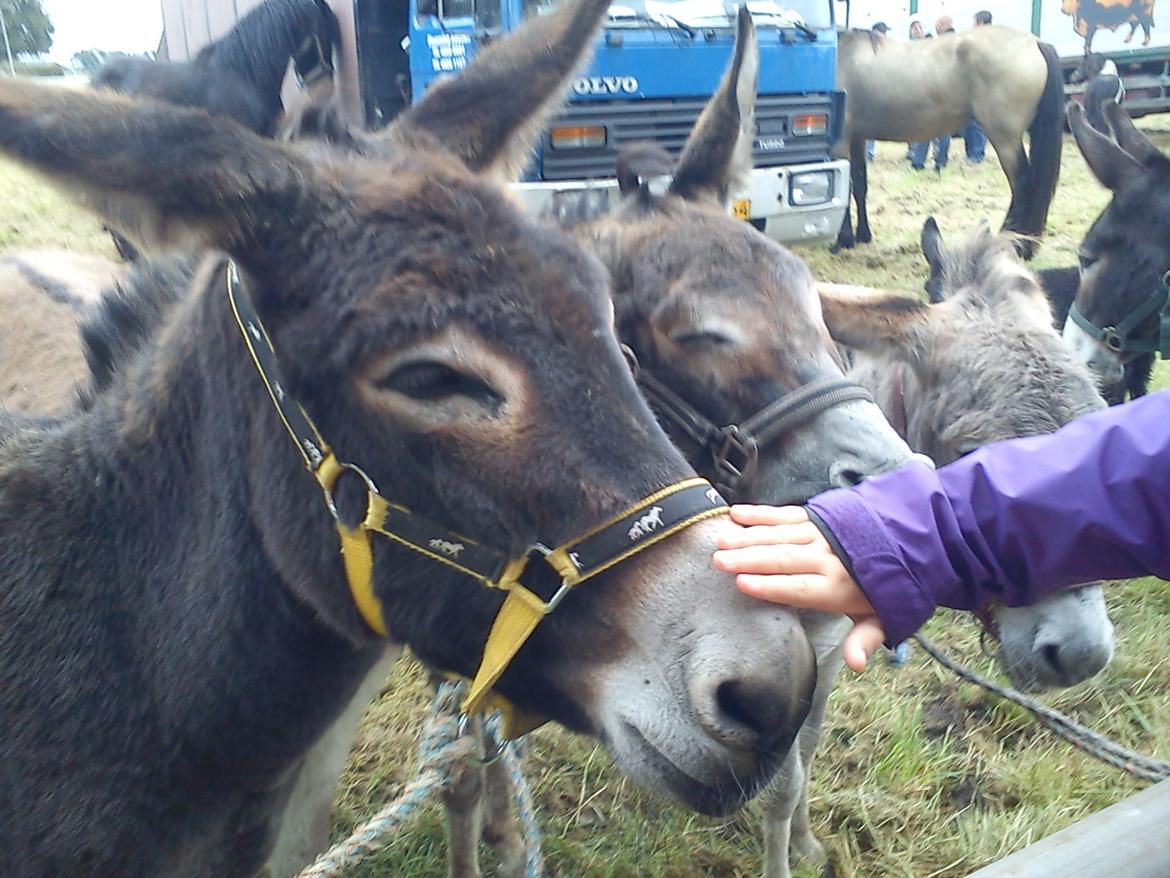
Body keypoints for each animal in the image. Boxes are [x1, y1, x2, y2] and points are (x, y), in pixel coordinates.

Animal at [833, 25, 1071, 259]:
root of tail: (1035, 43)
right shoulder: (857, 138)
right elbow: (859, 184)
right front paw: (863, 235)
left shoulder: (840, 140)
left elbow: (843, 185)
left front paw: (843, 240)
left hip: (1005, 139)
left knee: (1022, 183)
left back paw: (1016, 243)